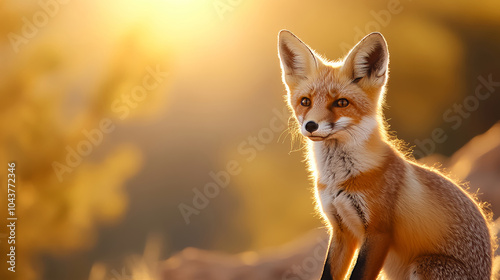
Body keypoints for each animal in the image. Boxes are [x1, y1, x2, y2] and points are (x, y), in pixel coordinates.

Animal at [278, 29, 496, 278]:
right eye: (305, 101)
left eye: (341, 103)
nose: (311, 125)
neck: (340, 178)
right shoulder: (342, 230)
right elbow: (329, 273)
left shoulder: (379, 232)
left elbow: (358, 274)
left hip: (424, 265)